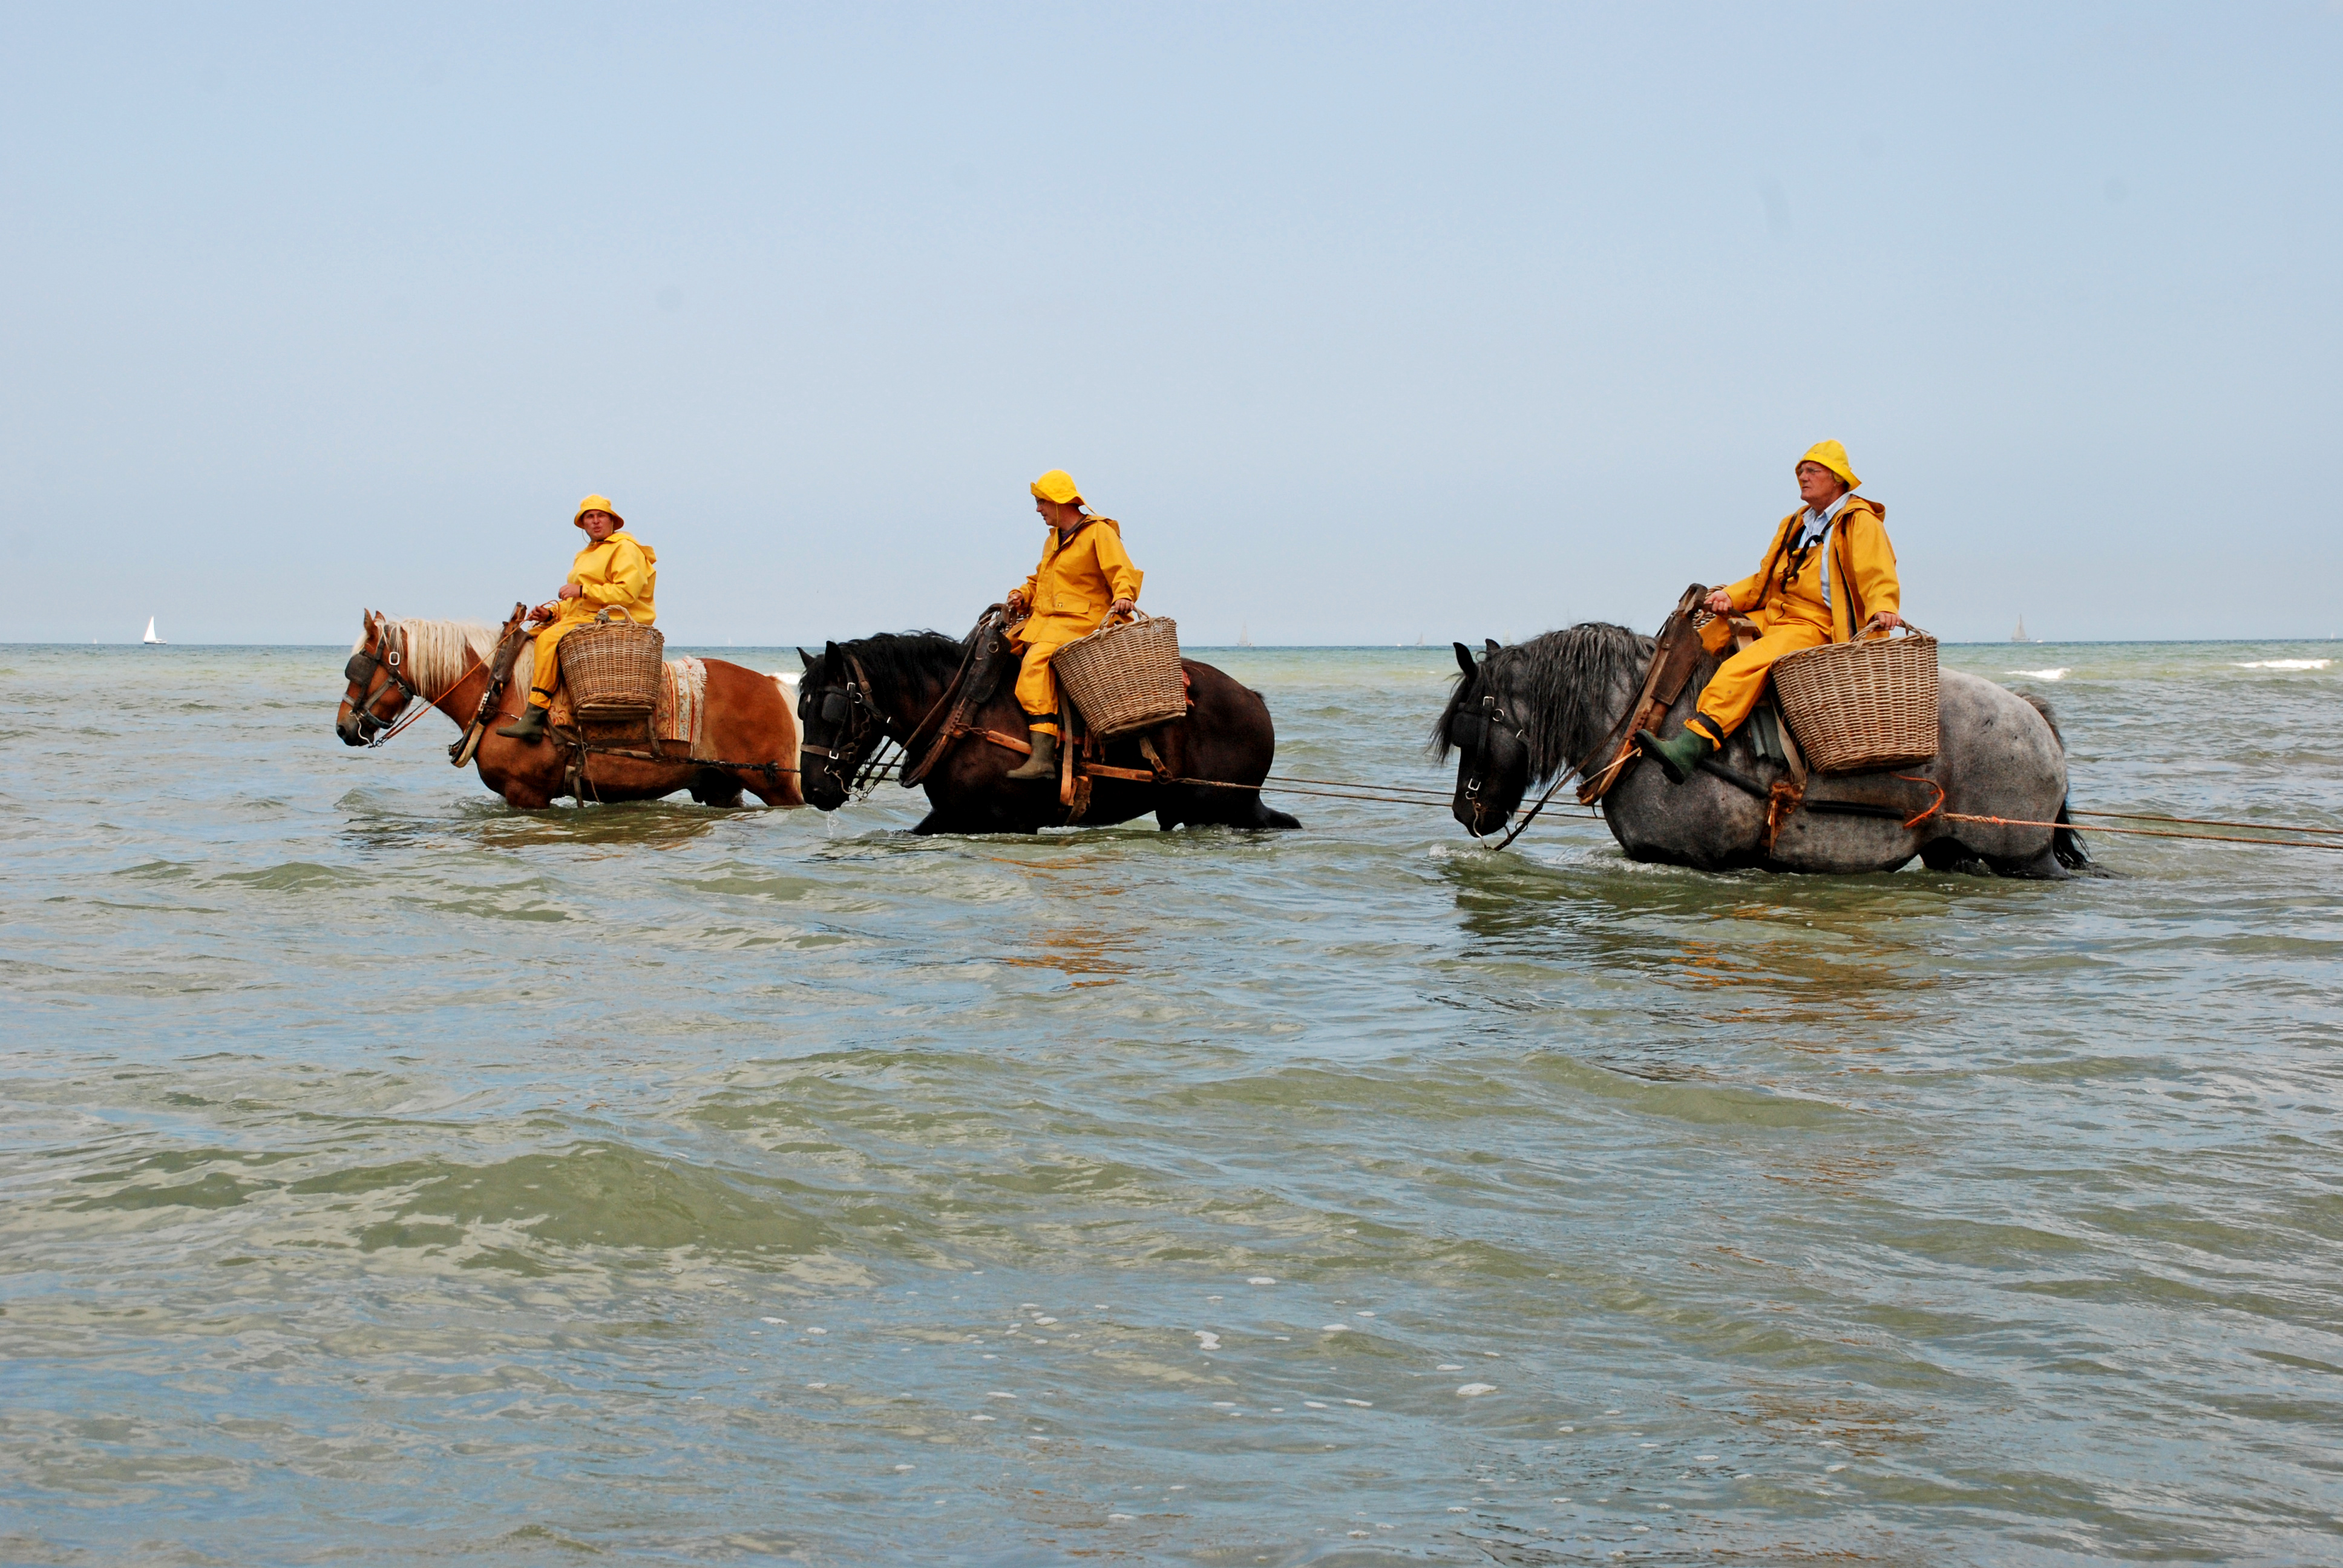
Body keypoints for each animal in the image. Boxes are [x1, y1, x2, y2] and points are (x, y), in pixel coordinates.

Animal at [335, 604, 801, 815]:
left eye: (358, 667)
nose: (343, 728)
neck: (499, 694)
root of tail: (772, 684)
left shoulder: (527, 795)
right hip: (722, 785)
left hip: (777, 786)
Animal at [796, 618, 1293, 839]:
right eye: (801, 711)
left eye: (835, 710)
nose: (814, 789)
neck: (961, 716)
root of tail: (1252, 699)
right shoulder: (954, 816)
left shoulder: (1010, 823)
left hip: (1223, 808)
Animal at [1443, 628, 2089, 881]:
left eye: (1467, 731)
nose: (1463, 813)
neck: (1642, 720)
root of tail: (2034, 717)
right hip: (1951, 850)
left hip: (2025, 856)